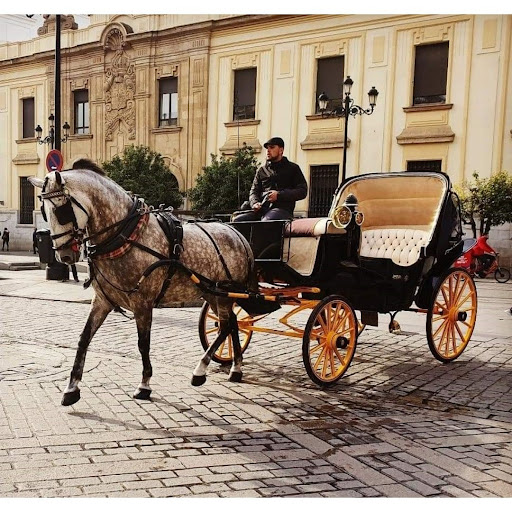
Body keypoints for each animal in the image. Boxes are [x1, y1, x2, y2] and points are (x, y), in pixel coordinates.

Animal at [29, 161, 254, 408]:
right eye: (43, 211)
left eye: (62, 211)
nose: (64, 256)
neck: (124, 236)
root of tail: (236, 233)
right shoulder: (102, 301)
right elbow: (84, 339)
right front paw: (71, 388)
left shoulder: (143, 303)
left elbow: (142, 343)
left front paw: (144, 385)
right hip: (214, 294)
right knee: (233, 324)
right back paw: (235, 368)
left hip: (223, 294)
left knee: (224, 327)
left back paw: (200, 370)